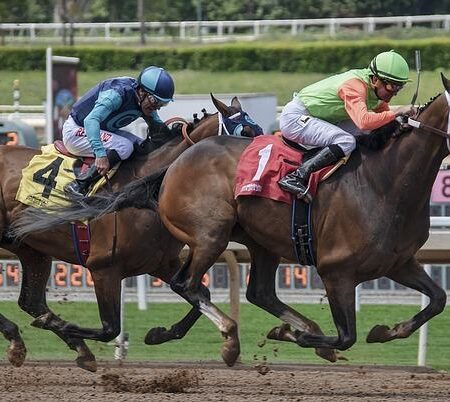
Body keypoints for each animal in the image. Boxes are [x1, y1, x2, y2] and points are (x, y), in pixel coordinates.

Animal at [3, 94, 262, 370]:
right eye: (246, 131)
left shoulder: (161, 262)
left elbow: (198, 292)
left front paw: (160, 334)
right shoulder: (103, 268)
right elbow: (110, 328)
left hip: (31, 249)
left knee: (31, 301)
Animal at [44, 74, 448, 366]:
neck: (384, 182)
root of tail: (173, 165)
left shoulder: (399, 262)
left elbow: (438, 299)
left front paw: (384, 331)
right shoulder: (337, 272)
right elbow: (346, 335)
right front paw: (293, 335)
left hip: (260, 242)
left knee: (255, 292)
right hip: (212, 234)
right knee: (187, 283)